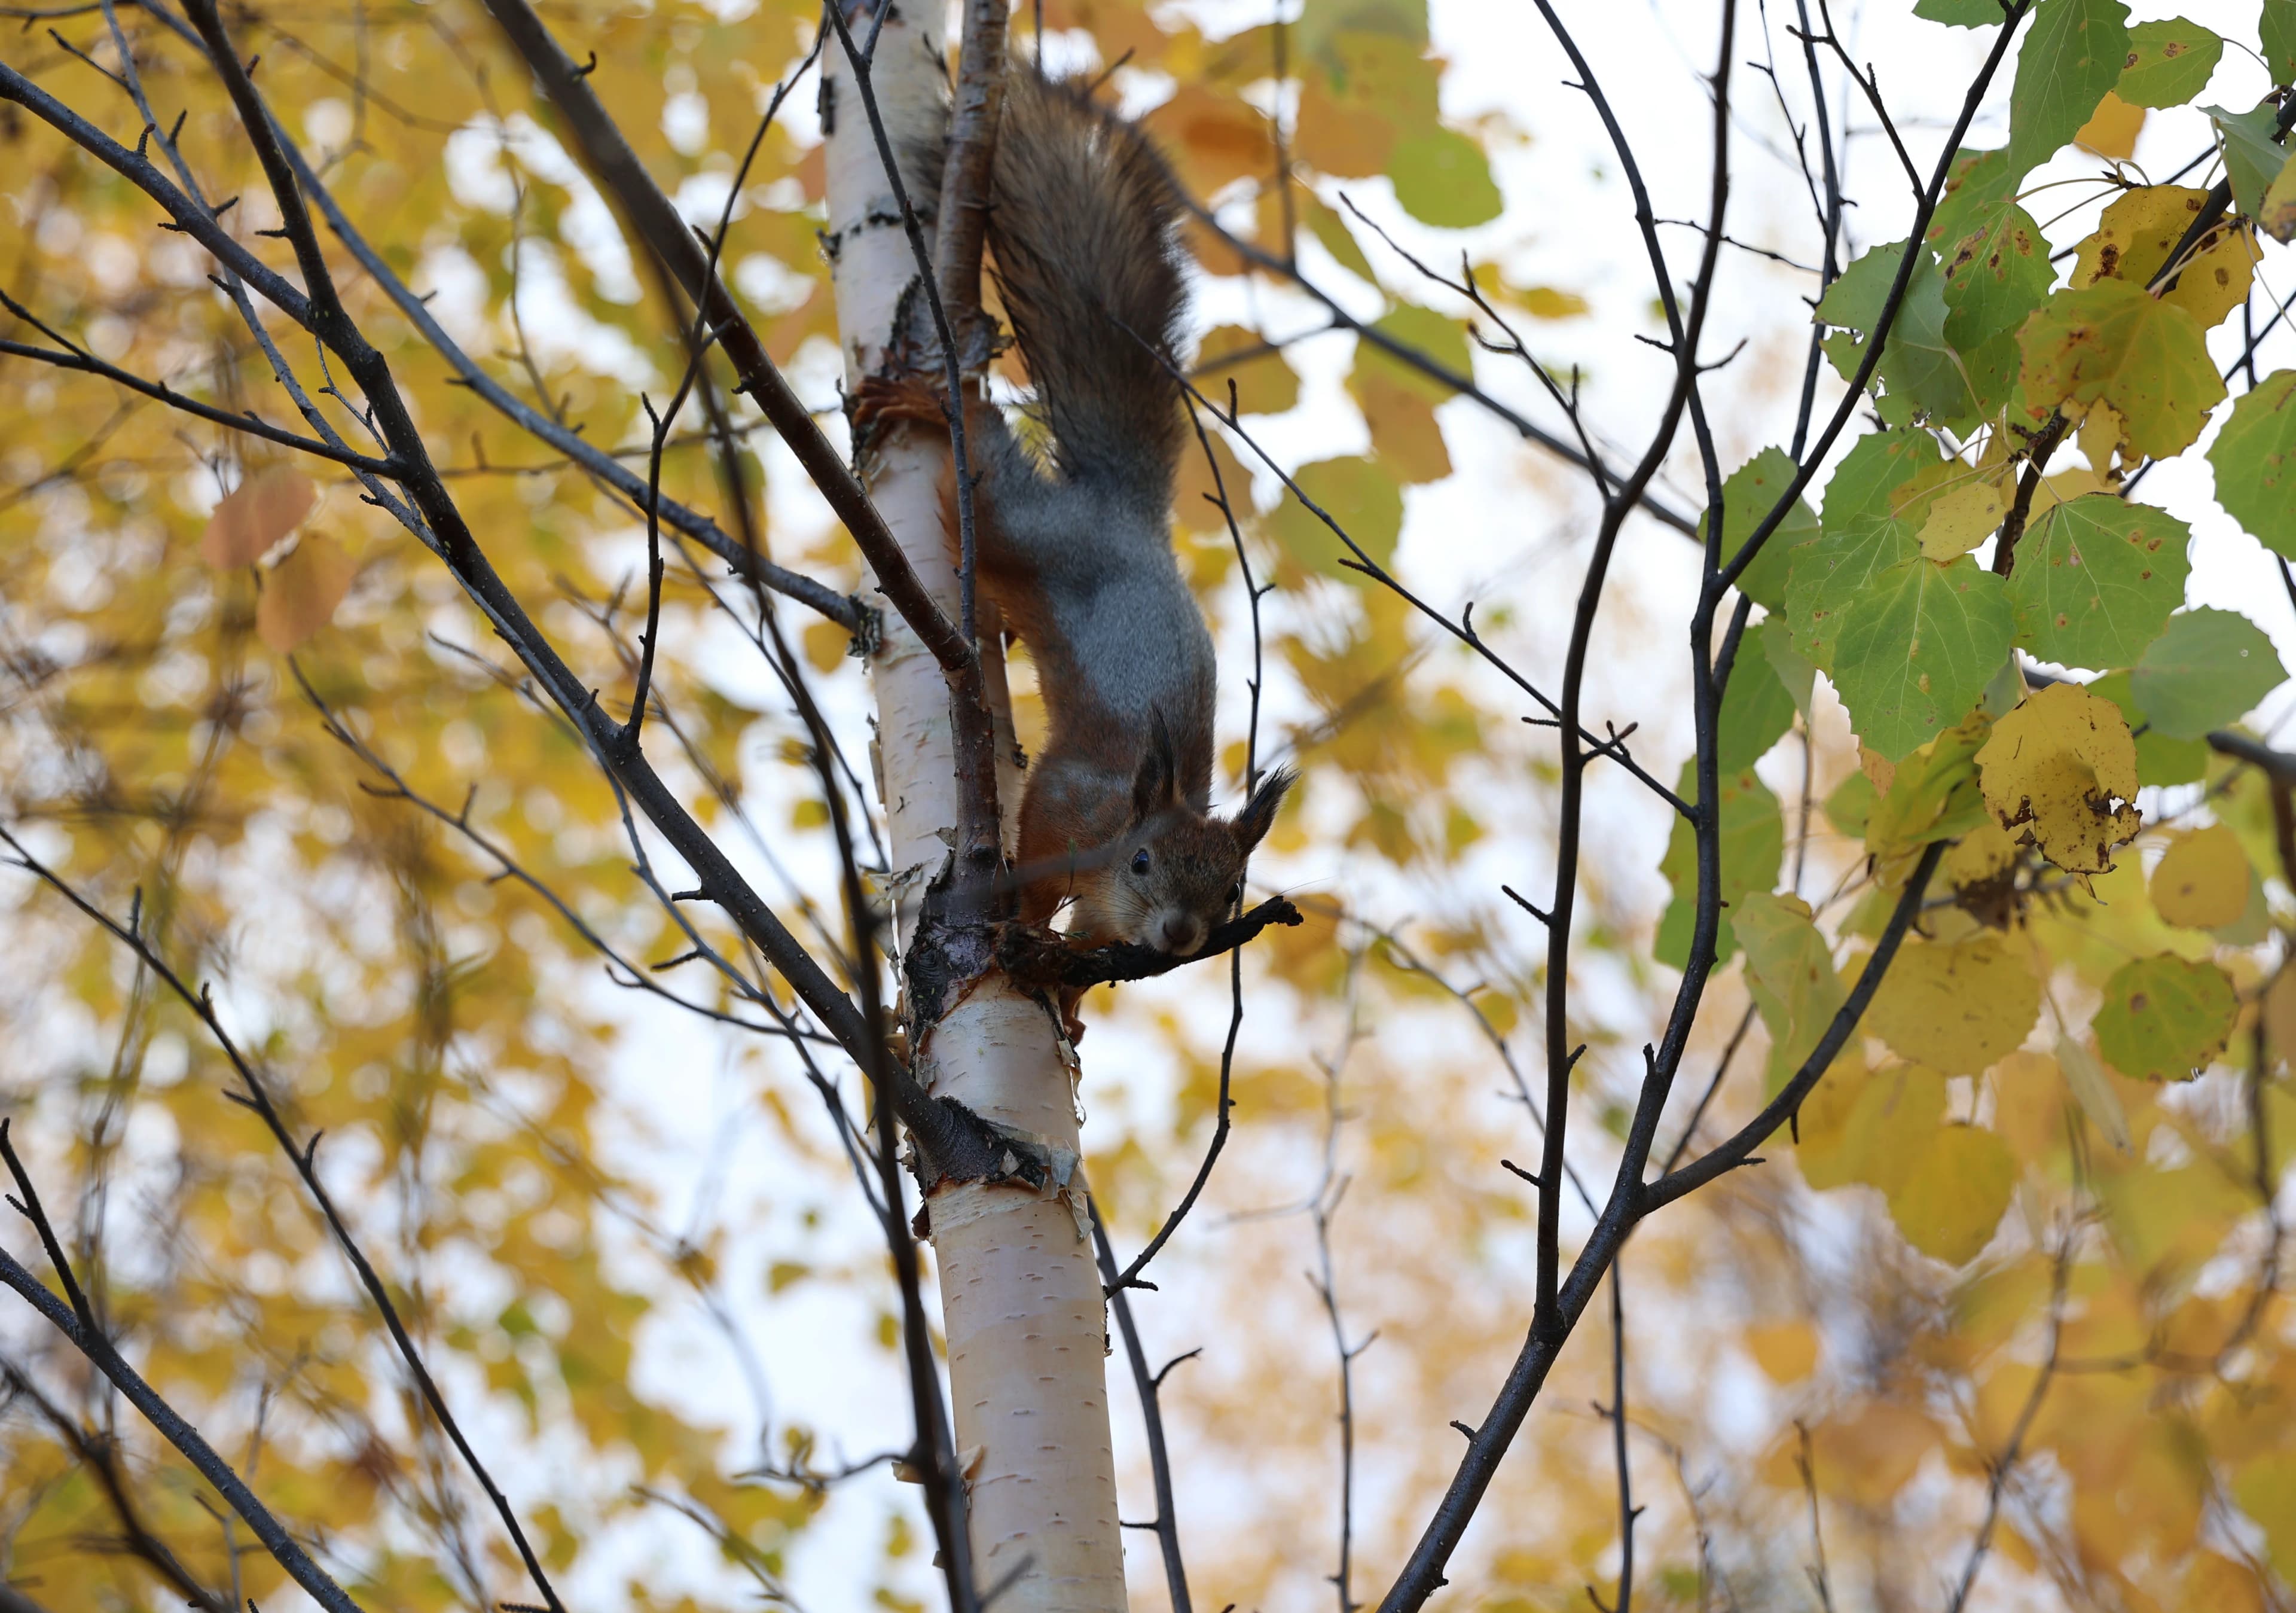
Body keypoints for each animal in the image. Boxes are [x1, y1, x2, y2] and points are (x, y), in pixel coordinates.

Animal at [857, 71, 1292, 960]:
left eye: (1234, 888)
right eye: (1141, 861)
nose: (1177, 934)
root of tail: (1126, 515)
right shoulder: (1066, 797)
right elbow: (1033, 856)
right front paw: (1023, 927)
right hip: (1019, 522)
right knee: (985, 462)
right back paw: (925, 401)